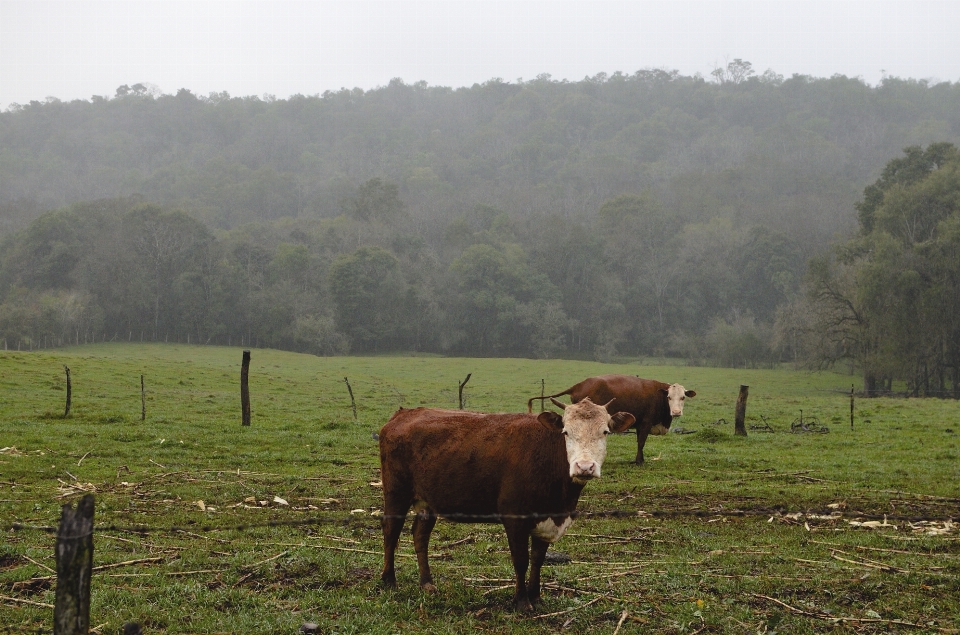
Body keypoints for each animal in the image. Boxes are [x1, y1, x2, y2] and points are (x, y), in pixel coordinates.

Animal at [376, 400, 636, 612]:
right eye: (566, 432)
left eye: (605, 431)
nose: (584, 467)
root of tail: (404, 413)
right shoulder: (514, 517)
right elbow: (521, 560)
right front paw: (521, 601)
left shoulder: (546, 520)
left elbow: (538, 559)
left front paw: (536, 596)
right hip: (396, 492)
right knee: (391, 531)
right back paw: (389, 580)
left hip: (428, 500)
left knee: (420, 535)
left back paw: (427, 583)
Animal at [528, 376, 692, 464]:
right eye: (669, 397)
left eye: (683, 397)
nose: (676, 412)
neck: (659, 395)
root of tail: (579, 385)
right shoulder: (646, 423)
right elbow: (641, 442)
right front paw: (639, 461)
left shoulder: (640, 425)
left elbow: (640, 443)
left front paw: (641, 459)